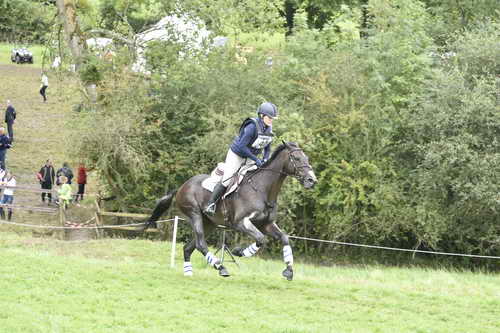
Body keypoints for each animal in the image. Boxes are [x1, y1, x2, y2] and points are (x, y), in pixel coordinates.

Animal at [144, 141, 316, 278]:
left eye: (307, 159)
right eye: (297, 158)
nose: (312, 180)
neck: (262, 190)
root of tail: (182, 186)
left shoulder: (266, 224)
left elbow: (284, 238)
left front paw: (289, 270)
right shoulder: (241, 223)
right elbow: (261, 239)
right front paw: (239, 252)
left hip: (209, 223)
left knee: (189, 247)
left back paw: (188, 271)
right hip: (194, 214)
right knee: (200, 244)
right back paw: (220, 267)